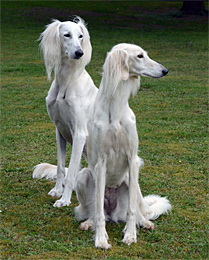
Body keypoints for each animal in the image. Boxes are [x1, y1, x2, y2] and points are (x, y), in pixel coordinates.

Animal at [32, 17, 98, 207]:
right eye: (67, 35)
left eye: (81, 36)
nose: (79, 53)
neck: (67, 80)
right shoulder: (59, 130)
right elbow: (62, 168)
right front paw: (57, 191)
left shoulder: (80, 134)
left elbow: (71, 171)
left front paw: (65, 199)